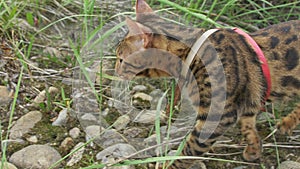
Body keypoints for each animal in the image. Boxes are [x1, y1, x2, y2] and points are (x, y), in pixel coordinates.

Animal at [113, 0, 298, 168]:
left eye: (121, 59)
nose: (115, 71)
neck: (191, 53)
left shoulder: (218, 115)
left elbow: (190, 149)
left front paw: (169, 165)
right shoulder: (247, 101)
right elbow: (248, 126)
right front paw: (254, 149)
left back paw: (286, 123)